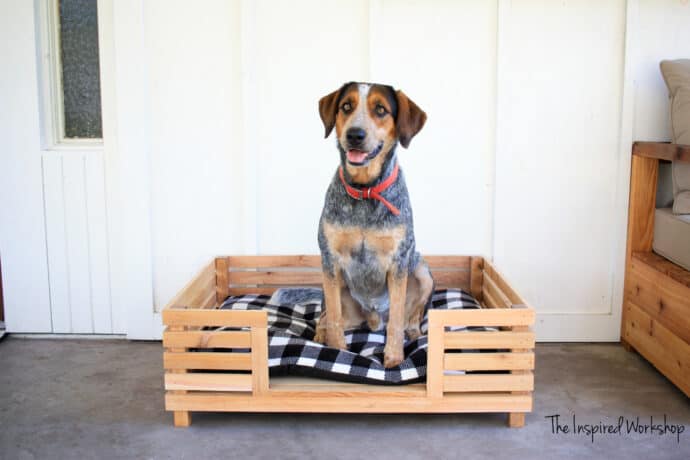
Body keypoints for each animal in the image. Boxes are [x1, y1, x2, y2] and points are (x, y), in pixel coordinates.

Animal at [314, 82, 432, 368]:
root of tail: (373, 319)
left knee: (410, 316)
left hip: (423, 271)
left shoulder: (399, 261)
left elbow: (398, 320)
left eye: (381, 109)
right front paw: (337, 351)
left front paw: (394, 359)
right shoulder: (329, 259)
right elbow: (333, 316)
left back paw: (414, 331)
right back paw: (320, 333)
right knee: (323, 316)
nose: (355, 134)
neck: (366, 190)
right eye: (346, 106)